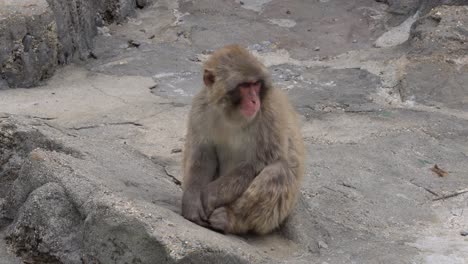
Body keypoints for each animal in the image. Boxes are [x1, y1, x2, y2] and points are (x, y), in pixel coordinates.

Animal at [181, 43, 306, 235]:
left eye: (256, 85)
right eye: (245, 86)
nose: (254, 101)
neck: (232, 114)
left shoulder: (269, 113)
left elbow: (260, 162)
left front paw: (209, 196)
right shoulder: (200, 108)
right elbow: (202, 156)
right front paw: (192, 202)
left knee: (278, 171)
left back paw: (230, 219)